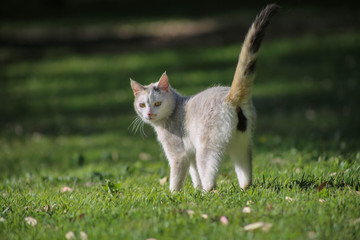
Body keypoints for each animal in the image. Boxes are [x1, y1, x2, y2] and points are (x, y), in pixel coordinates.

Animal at [129, 3, 278, 191]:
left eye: (157, 103)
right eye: (142, 105)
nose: (149, 113)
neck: (175, 108)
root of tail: (229, 97)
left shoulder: (179, 154)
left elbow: (176, 179)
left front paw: (173, 194)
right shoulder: (190, 154)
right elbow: (194, 175)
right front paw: (195, 189)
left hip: (206, 150)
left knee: (210, 178)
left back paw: (208, 192)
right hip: (242, 144)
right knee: (245, 172)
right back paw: (243, 188)